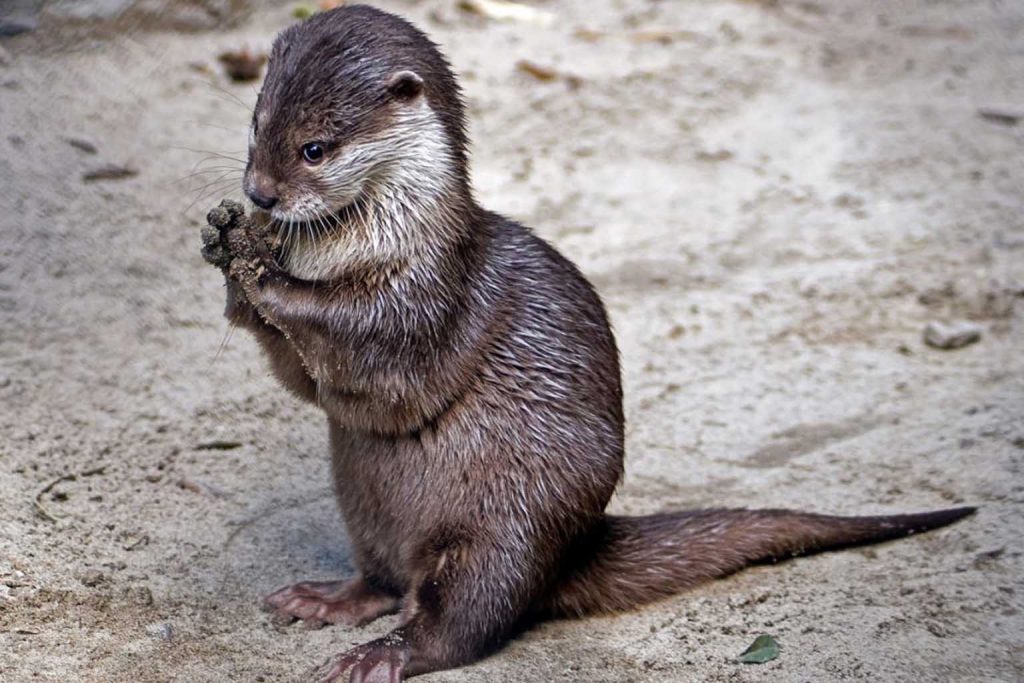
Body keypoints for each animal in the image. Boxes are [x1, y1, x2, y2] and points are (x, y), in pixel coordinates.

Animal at [198, 5, 974, 682]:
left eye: (315, 149)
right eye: (256, 126)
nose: (260, 193)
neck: (387, 242)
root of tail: (575, 547)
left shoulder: (426, 299)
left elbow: (371, 359)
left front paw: (262, 273)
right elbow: (309, 386)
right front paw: (227, 250)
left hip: (511, 526)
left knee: (459, 622)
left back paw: (377, 655)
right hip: (365, 506)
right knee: (386, 580)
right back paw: (327, 598)